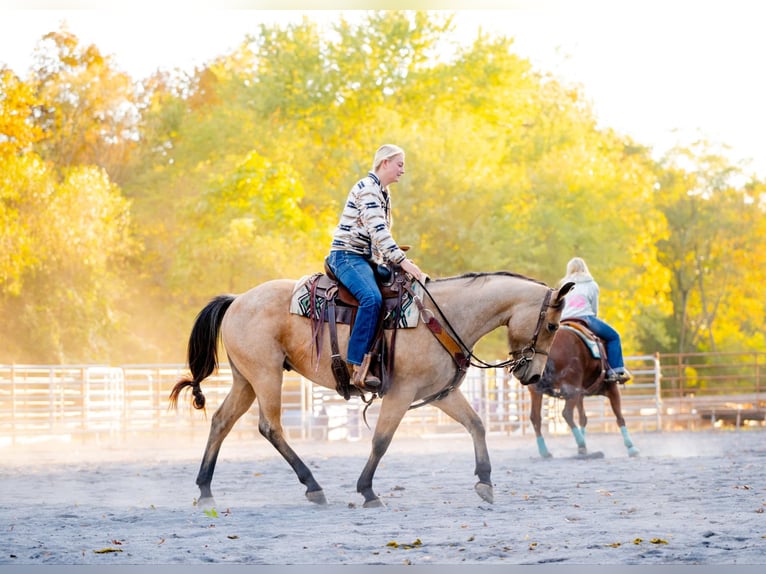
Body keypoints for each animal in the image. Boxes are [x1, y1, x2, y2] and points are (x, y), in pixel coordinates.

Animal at [170, 270, 576, 508]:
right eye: (553, 325)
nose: (533, 376)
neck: (442, 316)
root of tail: (236, 300)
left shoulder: (443, 393)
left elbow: (476, 425)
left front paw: (485, 481)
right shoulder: (401, 393)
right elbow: (382, 440)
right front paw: (367, 490)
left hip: (246, 379)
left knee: (221, 421)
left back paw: (205, 489)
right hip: (267, 375)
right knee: (270, 427)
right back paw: (313, 485)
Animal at [528, 322, 640, 462]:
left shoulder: (580, 395)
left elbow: (583, 418)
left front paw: (581, 450)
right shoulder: (612, 388)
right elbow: (620, 417)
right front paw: (631, 448)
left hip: (538, 390)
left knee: (535, 417)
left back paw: (545, 452)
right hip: (571, 388)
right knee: (566, 413)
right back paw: (582, 443)